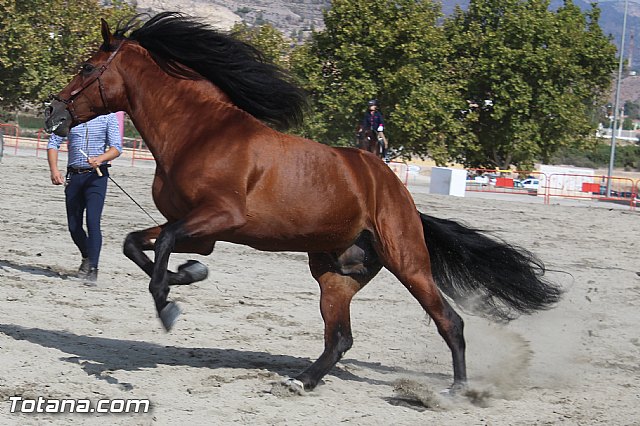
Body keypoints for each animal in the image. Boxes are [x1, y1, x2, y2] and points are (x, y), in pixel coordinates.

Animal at [44, 12, 562, 394]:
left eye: (88, 67)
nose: (52, 111)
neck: (199, 132)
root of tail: (399, 193)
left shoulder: (218, 218)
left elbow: (161, 248)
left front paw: (169, 303)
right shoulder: (201, 230)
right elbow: (138, 245)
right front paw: (187, 276)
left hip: (408, 262)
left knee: (449, 321)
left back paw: (454, 391)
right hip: (334, 273)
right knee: (341, 338)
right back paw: (302, 381)